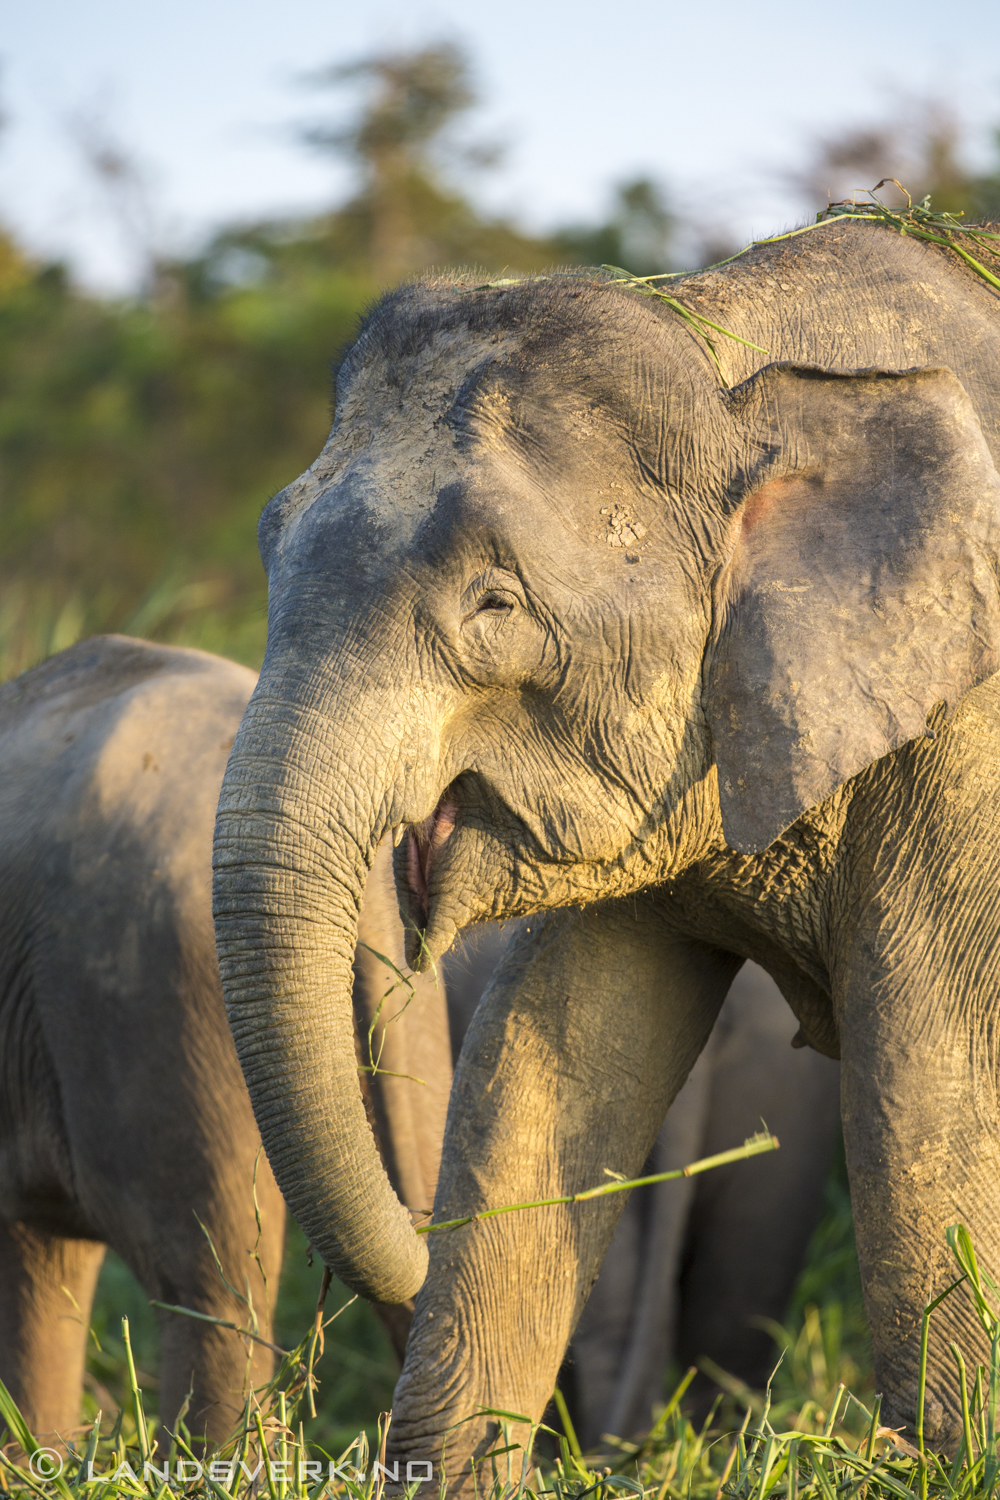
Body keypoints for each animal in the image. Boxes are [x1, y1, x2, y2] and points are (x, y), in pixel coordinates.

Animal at [212, 214, 1000, 1488]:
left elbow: (933, 1067)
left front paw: (945, 1466)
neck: (731, 343)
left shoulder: (968, 736)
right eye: (271, 546)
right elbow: (543, 1058)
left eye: (494, 603)